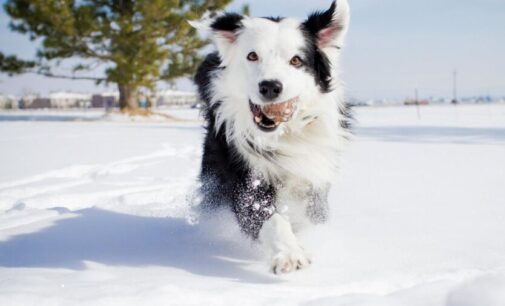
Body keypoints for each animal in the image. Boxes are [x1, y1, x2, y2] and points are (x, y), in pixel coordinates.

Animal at [191, 0, 348, 272]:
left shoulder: (314, 177)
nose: (270, 86)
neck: (283, 136)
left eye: (296, 60)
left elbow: (311, 217)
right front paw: (290, 253)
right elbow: (269, 218)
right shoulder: (244, 176)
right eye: (252, 56)